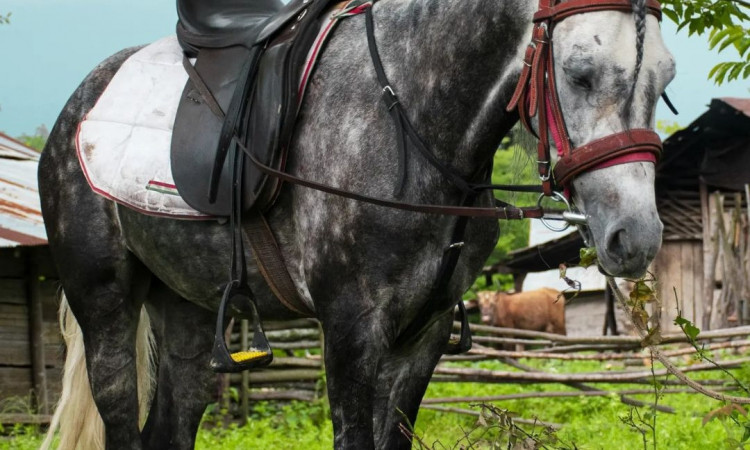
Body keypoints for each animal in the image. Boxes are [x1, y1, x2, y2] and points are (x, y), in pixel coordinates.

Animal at [38, 0, 672, 446]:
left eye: (664, 79)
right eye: (580, 73)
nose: (635, 237)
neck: (408, 118)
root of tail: (78, 104)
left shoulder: (422, 339)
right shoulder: (350, 330)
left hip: (187, 311)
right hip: (106, 306)